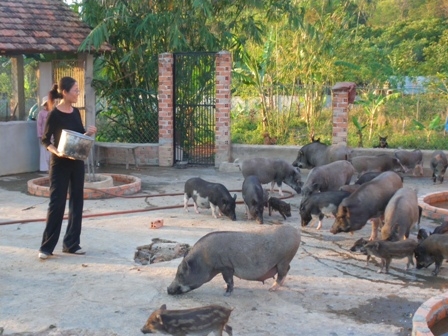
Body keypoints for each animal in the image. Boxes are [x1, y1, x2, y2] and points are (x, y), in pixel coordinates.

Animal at [167, 224, 300, 296]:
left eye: (180, 274)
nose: (168, 289)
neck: (205, 260)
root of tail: (296, 231)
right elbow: (228, 281)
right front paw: (222, 288)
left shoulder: (226, 267)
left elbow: (229, 281)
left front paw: (225, 294)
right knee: (287, 270)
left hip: (284, 259)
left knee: (283, 272)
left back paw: (271, 289)